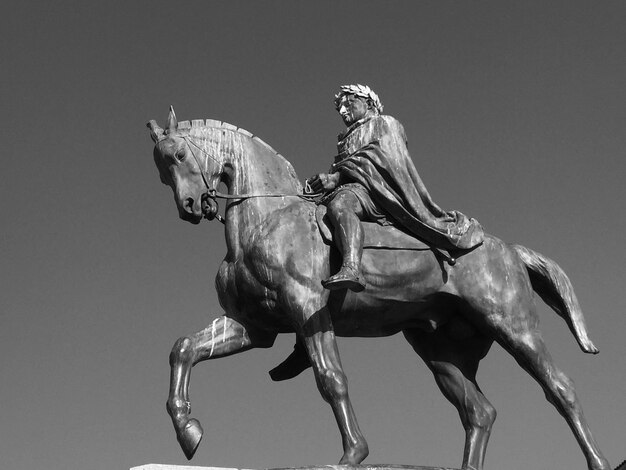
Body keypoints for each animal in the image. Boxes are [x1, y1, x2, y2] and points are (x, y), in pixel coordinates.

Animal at [147, 106, 608, 470]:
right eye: (161, 171)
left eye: (180, 155)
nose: (191, 207)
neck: (267, 219)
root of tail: (509, 249)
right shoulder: (253, 326)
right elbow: (183, 349)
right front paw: (187, 430)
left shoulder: (307, 310)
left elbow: (331, 379)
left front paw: (353, 453)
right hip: (439, 349)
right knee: (480, 412)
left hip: (512, 325)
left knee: (560, 389)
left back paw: (598, 461)